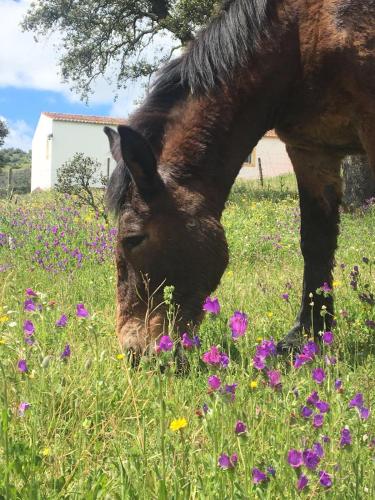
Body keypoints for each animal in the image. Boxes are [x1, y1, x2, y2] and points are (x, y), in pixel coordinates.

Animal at [105, 0, 375, 360]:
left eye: (133, 239)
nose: (134, 352)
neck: (298, 40)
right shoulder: (311, 150)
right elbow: (315, 243)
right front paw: (306, 338)